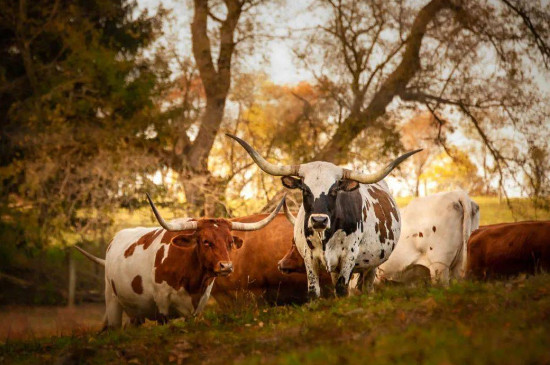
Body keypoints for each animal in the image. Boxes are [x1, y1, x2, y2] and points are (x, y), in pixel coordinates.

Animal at [229, 132, 422, 298]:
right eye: (305, 189)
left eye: (335, 190)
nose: (319, 220)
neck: (325, 238)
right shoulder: (309, 259)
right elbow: (314, 292)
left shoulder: (349, 258)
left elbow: (342, 290)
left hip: (372, 264)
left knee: (367, 287)